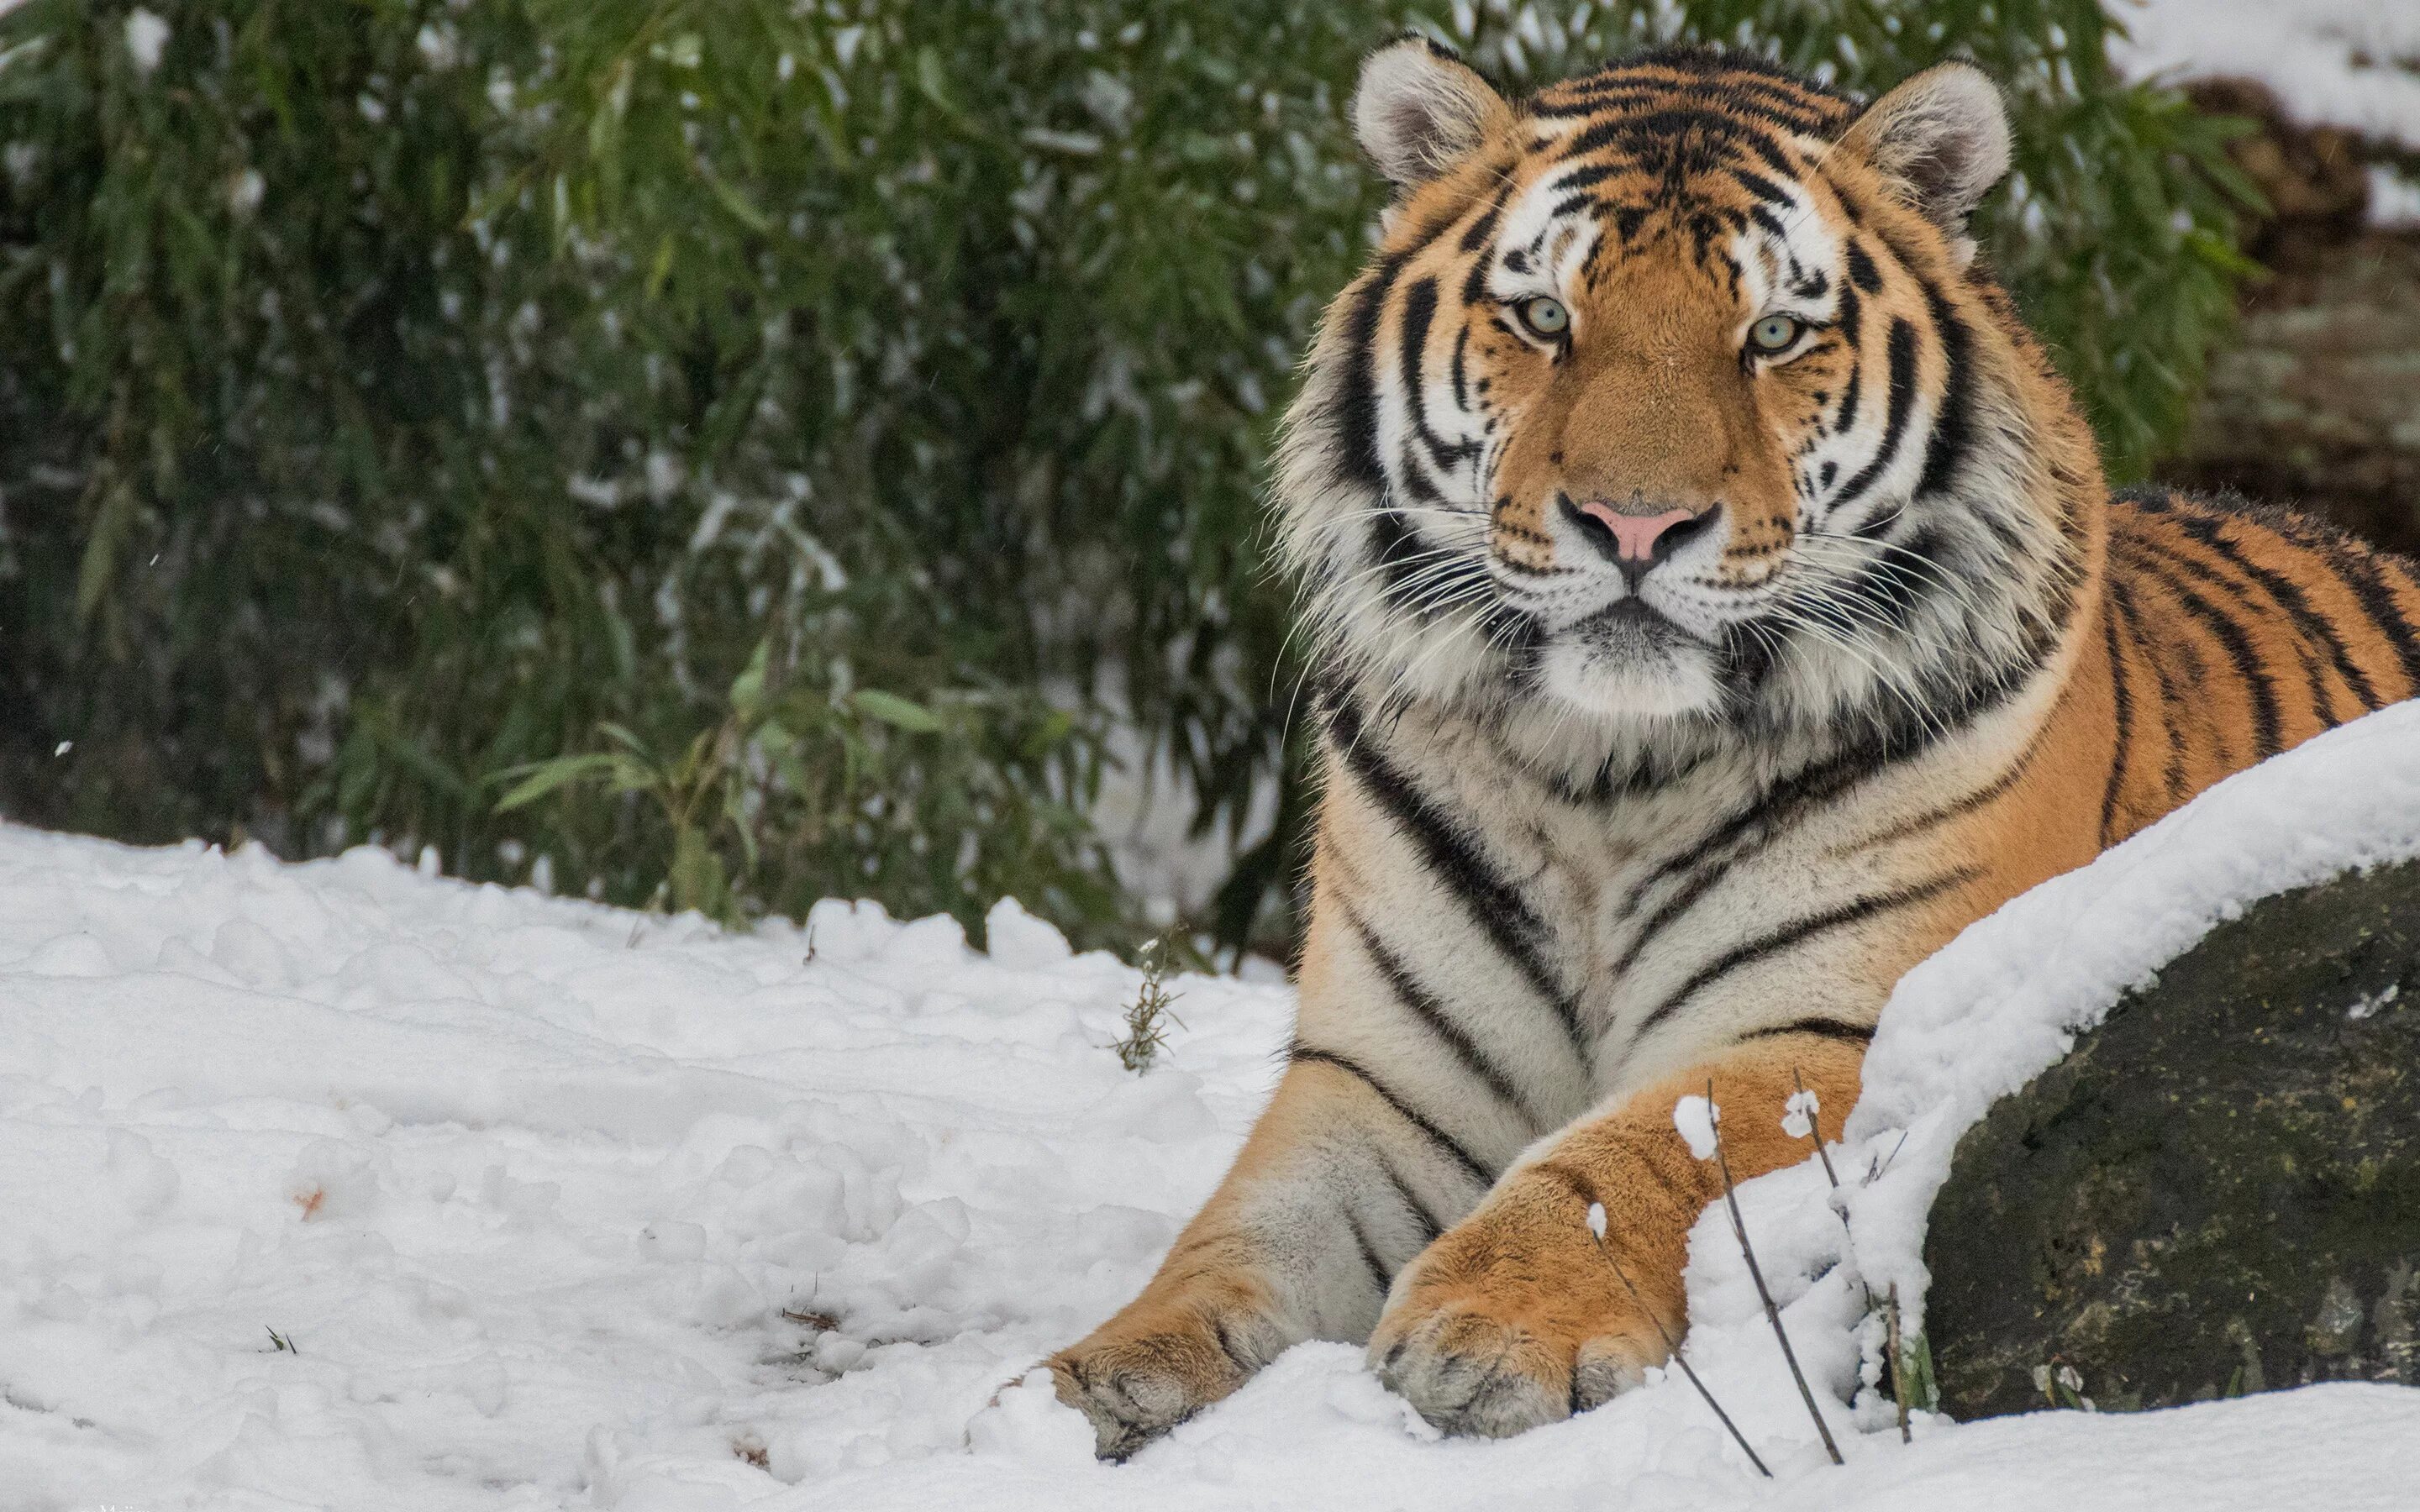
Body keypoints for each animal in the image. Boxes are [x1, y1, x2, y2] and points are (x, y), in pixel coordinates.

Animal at [1040, 40, 2420, 1452]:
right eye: (1546, 320)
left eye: (1773, 336)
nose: (1633, 527)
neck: (1598, 766)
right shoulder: (1387, 1076)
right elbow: (1244, 1236)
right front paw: (1089, 1383)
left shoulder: (1840, 1024)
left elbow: (1629, 1155)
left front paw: (1483, 1331)